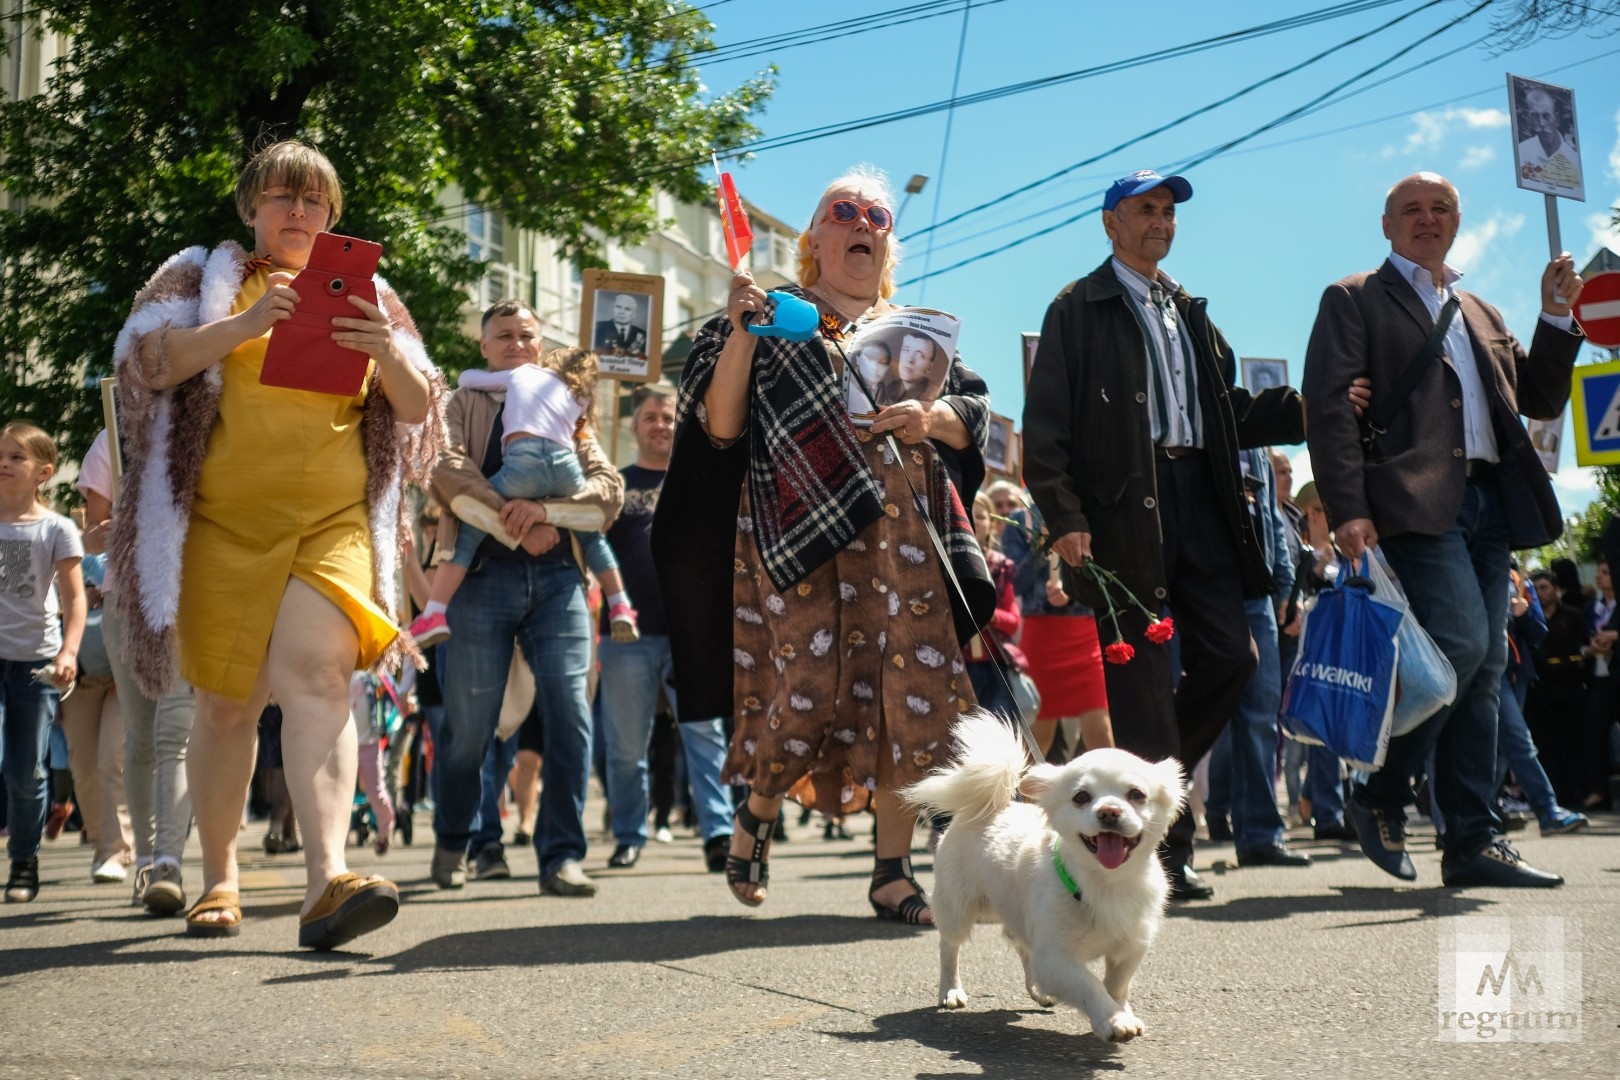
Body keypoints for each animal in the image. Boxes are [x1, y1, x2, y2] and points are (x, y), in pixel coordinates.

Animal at [907, 712, 1185, 1042]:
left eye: (1136, 794)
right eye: (1081, 797)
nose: (1109, 811)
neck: (1105, 884)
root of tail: (992, 806)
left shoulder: (1130, 946)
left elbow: (1116, 985)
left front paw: (1120, 1011)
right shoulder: (1055, 957)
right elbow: (1089, 983)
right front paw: (1113, 1019)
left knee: (1021, 947)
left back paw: (1038, 992)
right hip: (957, 908)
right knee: (949, 947)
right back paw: (950, 991)